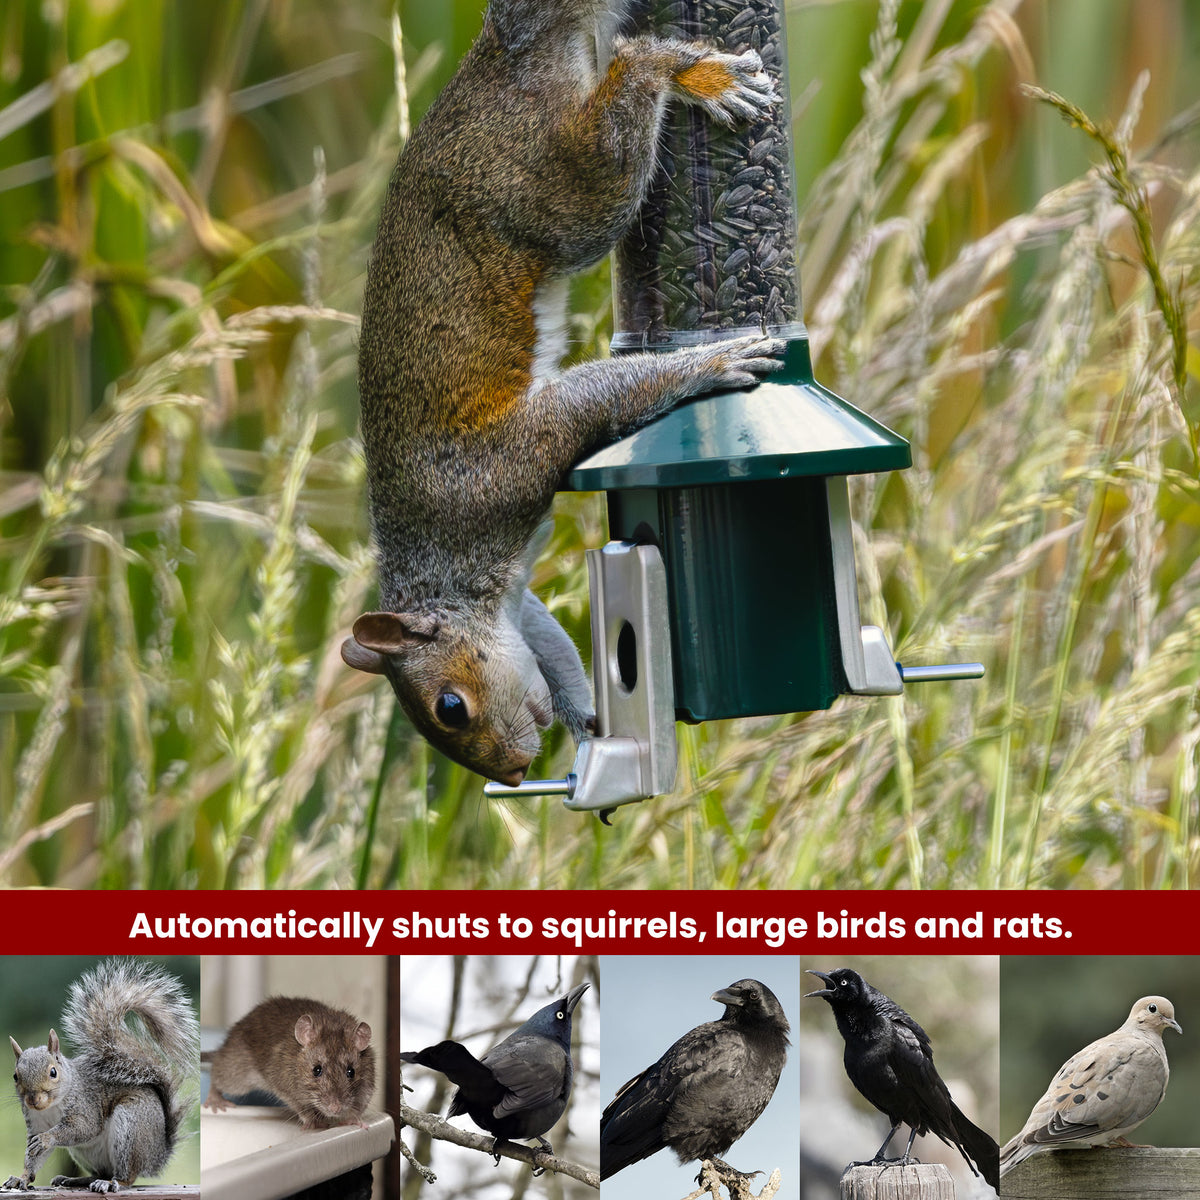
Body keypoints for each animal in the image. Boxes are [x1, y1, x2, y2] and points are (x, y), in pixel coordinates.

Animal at [4, 958, 198, 1194]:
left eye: (53, 1072)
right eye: (15, 1076)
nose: (33, 1099)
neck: (51, 1106)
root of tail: (157, 1155)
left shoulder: (86, 1105)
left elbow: (83, 1128)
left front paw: (47, 1138)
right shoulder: (35, 1122)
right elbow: (33, 1157)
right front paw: (21, 1178)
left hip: (131, 1127)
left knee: (127, 1175)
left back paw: (113, 1182)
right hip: (85, 1153)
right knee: (102, 1171)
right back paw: (76, 1180)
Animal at [343, 0, 785, 786]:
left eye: (450, 707)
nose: (514, 773)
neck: (443, 564)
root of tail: (502, 59)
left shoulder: (503, 468)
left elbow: (595, 400)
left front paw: (712, 362)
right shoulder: (520, 610)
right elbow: (552, 648)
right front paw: (589, 723)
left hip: (551, 189)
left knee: (623, 101)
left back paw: (687, 72)